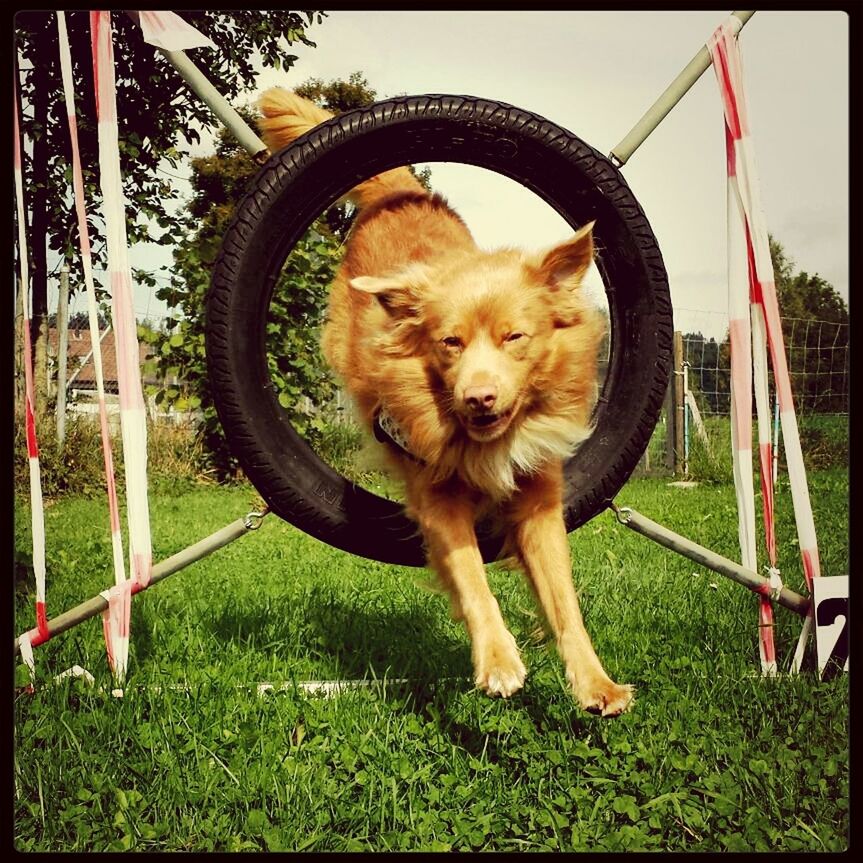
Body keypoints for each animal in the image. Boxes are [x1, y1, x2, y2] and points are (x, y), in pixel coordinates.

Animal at [258, 91, 636, 720]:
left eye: (515, 338)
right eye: (449, 342)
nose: (478, 398)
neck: (486, 444)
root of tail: (400, 197)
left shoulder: (539, 502)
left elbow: (563, 599)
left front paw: (596, 683)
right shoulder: (436, 499)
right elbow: (472, 577)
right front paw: (500, 661)